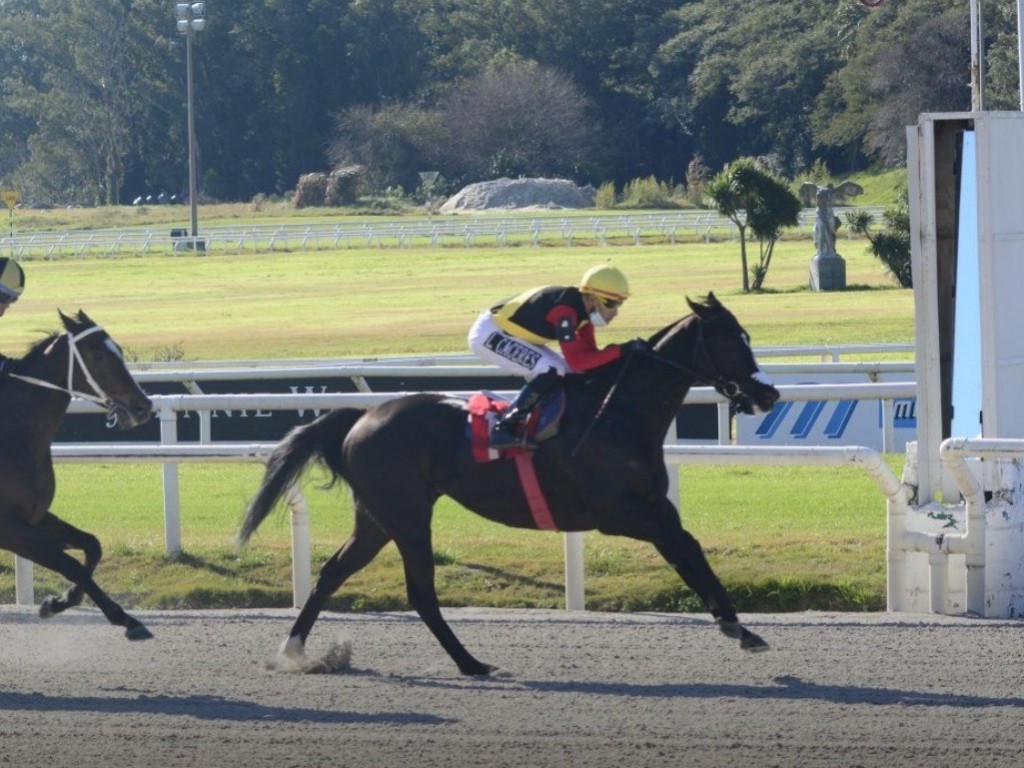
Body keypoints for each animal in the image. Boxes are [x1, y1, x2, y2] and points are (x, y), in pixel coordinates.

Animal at [239, 292, 778, 671]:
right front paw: (736, 626)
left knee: (333, 572)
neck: (619, 412)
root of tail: (362, 417)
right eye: (734, 338)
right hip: (406, 515)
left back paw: (294, 651)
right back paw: (471, 664)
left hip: (376, 517)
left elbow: (689, 551)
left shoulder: (653, 506)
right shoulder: (619, 513)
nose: (768, 393)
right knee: (420, 592)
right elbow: (684, 547)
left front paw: (738, 626)